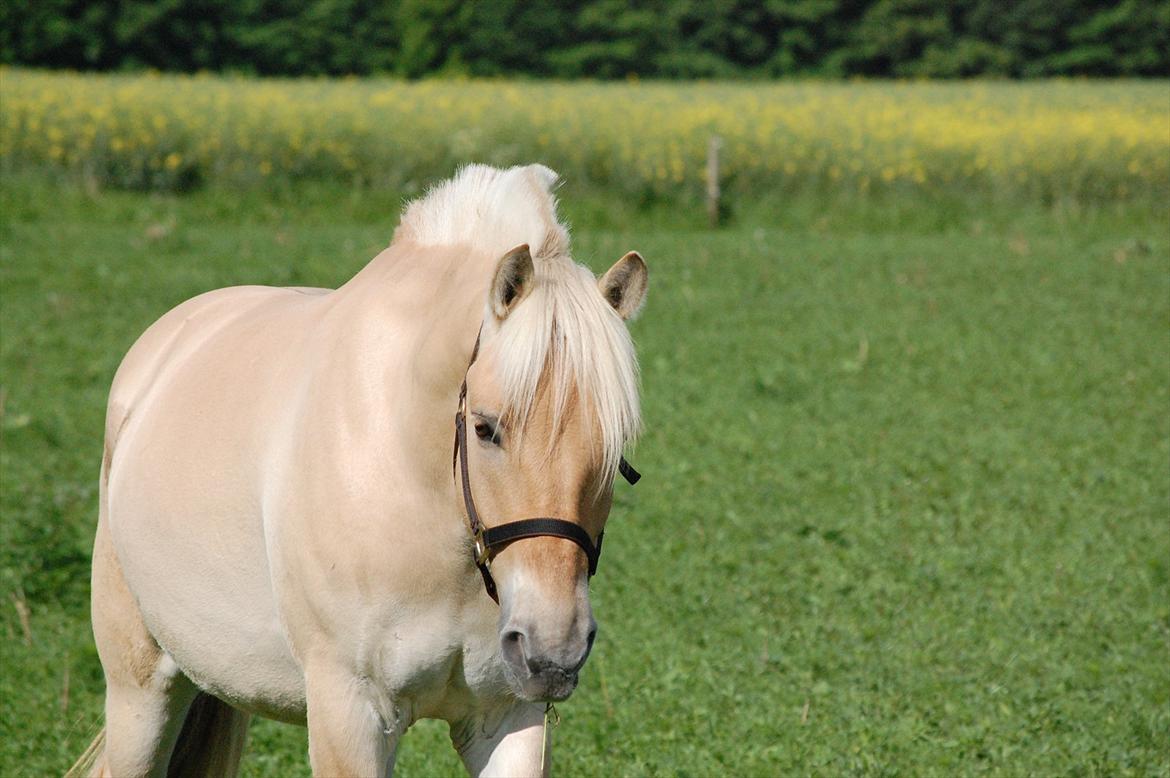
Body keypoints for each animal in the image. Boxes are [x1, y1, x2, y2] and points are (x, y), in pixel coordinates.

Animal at [75, 162, 650, 772]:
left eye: (616, 450)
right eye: (485, 428)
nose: (553, 648)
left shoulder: (509, 717)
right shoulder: (348, 712)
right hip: (141, 690)